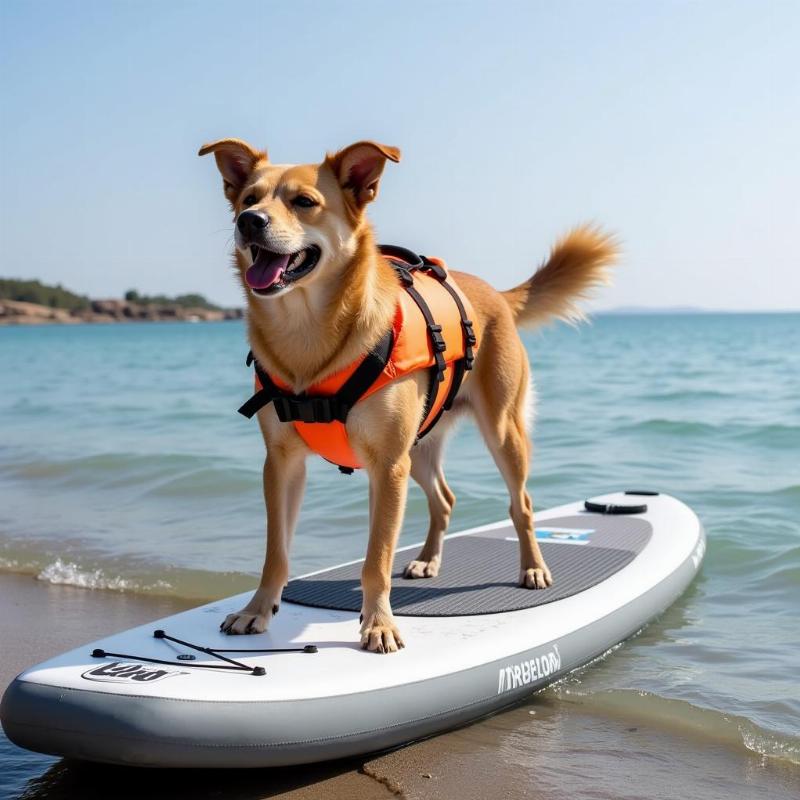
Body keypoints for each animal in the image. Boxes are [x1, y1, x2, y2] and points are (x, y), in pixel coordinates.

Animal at [200, 138, 620, 648]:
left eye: (304, 202)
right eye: (249, 199)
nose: (249, 222)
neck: (308, 334)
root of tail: (496, 292)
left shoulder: (386, 465)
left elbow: (376, 559)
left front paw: (379, 623)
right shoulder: (282, 463)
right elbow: (275, 552)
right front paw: (258, 609)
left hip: (499, 432)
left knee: (521, 503)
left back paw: (533, 568)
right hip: (419, 446)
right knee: (445, 498)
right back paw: (427, 560)